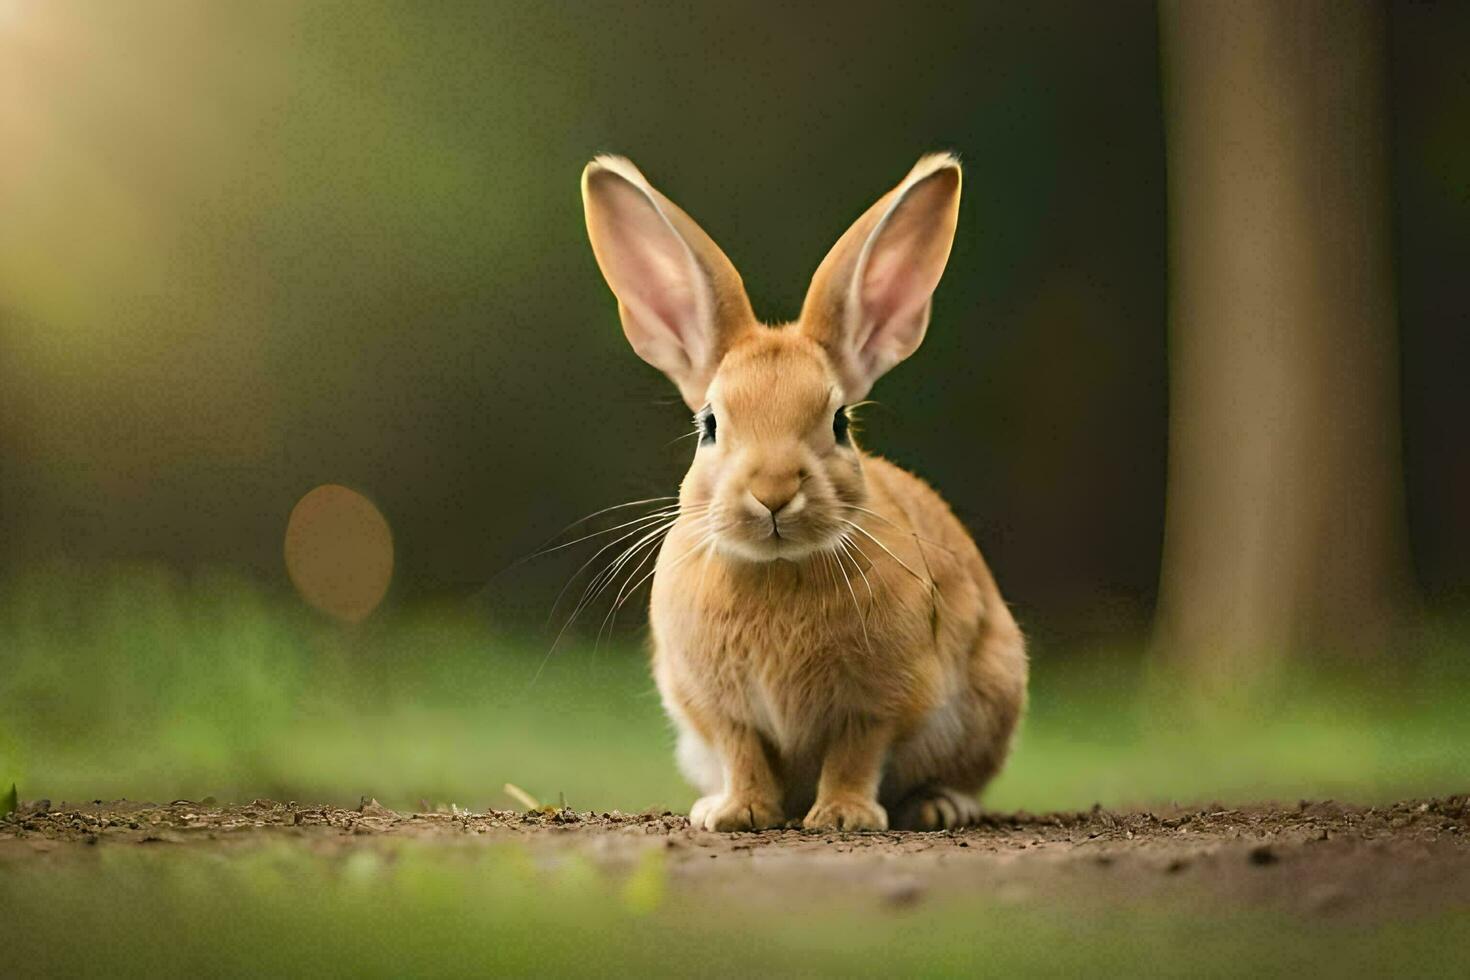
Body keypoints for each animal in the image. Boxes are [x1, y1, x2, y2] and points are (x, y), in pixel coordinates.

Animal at [579, 153, 1029, 834]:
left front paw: (843, 817)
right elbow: (742, 750)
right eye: (709, 425)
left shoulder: (878, 704)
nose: (771, 493)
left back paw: (940, 806)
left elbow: (854, 754)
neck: (776, 567)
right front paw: (737, 814)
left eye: (840, 423)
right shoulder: (720, 708)